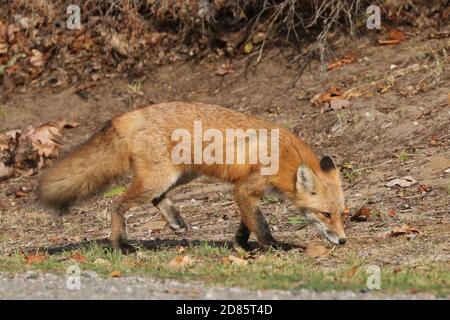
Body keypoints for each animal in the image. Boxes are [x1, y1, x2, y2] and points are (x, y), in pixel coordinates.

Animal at [39, 102, 348, 252]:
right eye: (325, 214)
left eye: (342, 214)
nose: (343, 241)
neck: (284, 155)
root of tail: (131, 114)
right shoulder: (245, 188)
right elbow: (261, 225)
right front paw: (274, 247)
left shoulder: (244, 192)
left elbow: (247, 222)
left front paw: (240, 243)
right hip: (159, 178)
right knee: (117, 205)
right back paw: (120, 245)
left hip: (180, 175)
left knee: (157, 199)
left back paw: (175, 221)